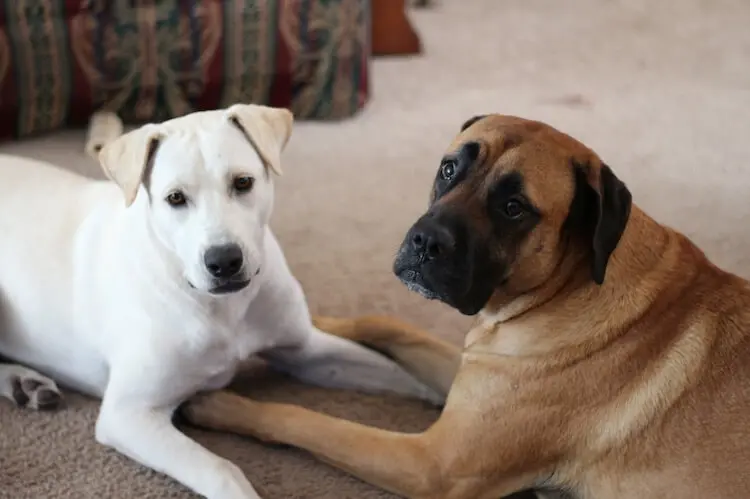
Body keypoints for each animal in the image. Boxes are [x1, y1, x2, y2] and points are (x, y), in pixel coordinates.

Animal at [0, 103, 440, 498]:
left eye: (243, 183)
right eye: (175, 198)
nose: (224, 261)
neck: (220, 305)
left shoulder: (306, 352)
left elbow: (404, 376)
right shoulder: (129, 415)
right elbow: (221, 470)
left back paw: (25, 384)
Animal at [181, 115, 750, 498]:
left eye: (514, 208)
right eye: (449, 168)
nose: (423, 241)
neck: (563, 286)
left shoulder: (434, 463)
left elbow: (306, 420)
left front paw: (219, 404)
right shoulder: (473, 370)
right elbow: (386, 323)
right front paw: (314, 320)